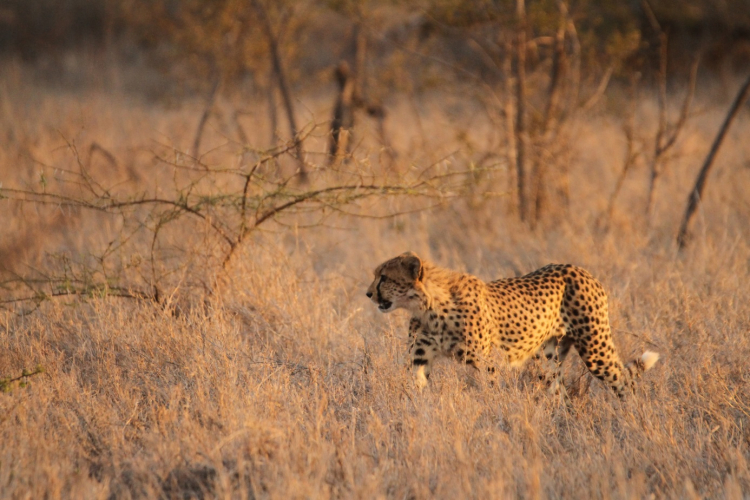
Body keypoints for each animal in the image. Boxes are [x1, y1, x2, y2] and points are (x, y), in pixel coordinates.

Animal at [368, 252, 660, 396]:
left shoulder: (488, 362)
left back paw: (630, 416)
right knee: (556, 389)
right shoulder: (419, 358)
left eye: (384, 277)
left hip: (594, 348)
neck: (429, 305)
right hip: (550, 357)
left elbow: (491, 391)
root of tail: (580, 269)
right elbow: (414, 386)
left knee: (623, 379)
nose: (368, 294)